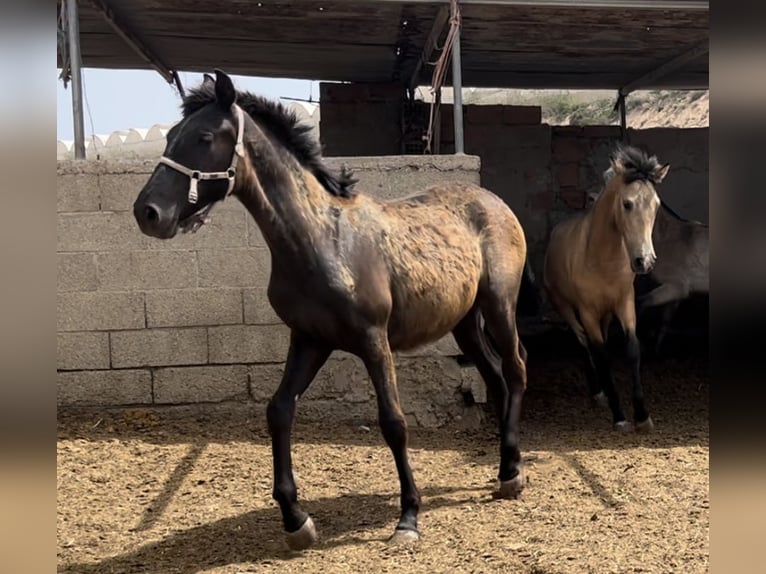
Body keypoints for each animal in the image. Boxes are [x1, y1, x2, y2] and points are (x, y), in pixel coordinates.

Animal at [134, 71, 536, 552]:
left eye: (204, 137)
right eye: (171, 135)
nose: (148, 213)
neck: (322, 239)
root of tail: (494, 202)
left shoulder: (374, 340)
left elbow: (393, 422)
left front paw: (408, 519)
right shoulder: (310, 339)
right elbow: (279, 410)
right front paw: (296, 520)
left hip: (498, 305)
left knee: (515, 368)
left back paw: (512, 476)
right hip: (464, 322)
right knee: (495, 378)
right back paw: (503, 465)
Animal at [544, 146, 668, 434]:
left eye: (656, 204)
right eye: (627, 203)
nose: (645, 261)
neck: (602, 259)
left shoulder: (624, 304)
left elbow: (632, 349)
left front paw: (642, 416)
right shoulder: (587, 312)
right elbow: (601, 354)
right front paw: (619, 416)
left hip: (606, 314)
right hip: (566, 308)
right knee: (582, 341)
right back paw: (597, 391)